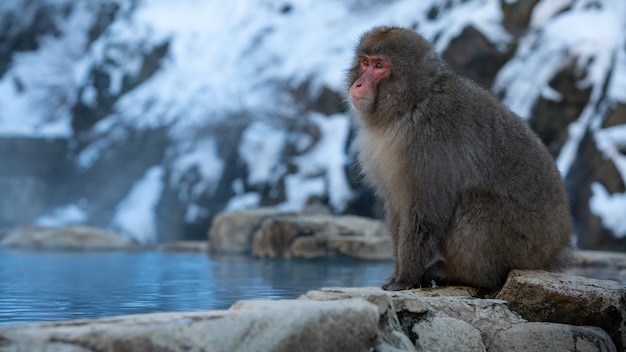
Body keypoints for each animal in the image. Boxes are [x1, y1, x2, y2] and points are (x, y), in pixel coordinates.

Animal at [346, 26, 572, 292]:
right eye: (365, 62)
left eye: (380, 66)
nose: (358, 83)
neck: (410, 107)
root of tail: (554, 251)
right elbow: (398, 211)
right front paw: (396, 274)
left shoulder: (431, 142)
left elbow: (426, 211)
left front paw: (405, 278)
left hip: (521, 246)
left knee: (475, 204)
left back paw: (467, 275)